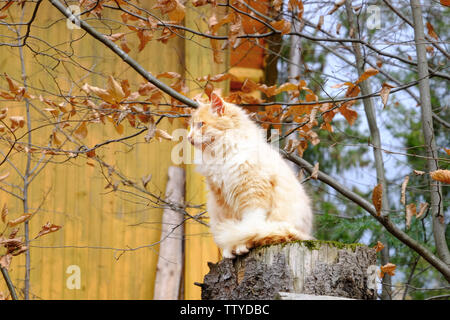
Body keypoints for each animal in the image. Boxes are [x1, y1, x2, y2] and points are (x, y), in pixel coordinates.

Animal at [187, 93, 312, 260]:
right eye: (192, 126)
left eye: (201, 125)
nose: (189, 137)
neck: (222, 154)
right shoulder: (223, 200)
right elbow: (233, 226)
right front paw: (229, 251)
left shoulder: (253, 194)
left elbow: (248, 226)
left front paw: (240, 246)